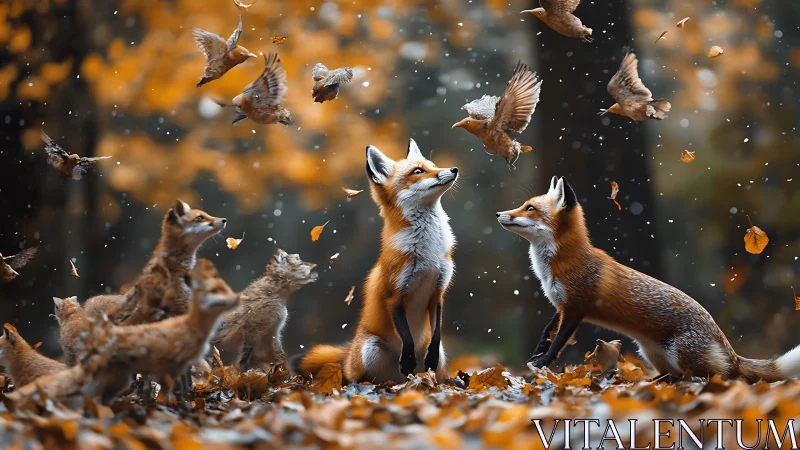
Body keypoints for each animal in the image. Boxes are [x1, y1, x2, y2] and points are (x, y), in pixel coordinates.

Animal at [294, 139, 459, 384]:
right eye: (418, 171)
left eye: (433, 165)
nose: (454, 169)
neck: (429, 255)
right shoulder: (395, 295)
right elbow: (407, 339)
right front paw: (407, 360)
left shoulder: (437, 293)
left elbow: (436, 334)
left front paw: (423, 358)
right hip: (370, 350)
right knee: (362, 378)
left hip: (439, 358)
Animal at [496, 176, 800, 383]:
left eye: (530, 208)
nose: (499, 213)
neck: (556, 266)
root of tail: (729, 350)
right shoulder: (561, 305)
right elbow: (547, 331)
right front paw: (537, 353)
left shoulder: (576, 308)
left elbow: (558, 342)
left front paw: (543, 361)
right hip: (650, 353)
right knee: (670, 376)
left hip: (682, 354)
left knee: (715, 376)